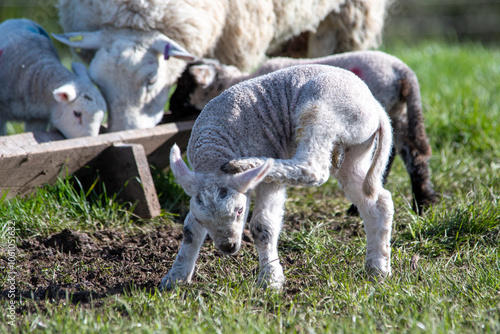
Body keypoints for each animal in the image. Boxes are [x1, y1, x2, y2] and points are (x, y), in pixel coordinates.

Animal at [160, 64, 394, 290]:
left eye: (239, 211)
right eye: (203, 219)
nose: (228, 246)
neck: (213, 158)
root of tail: (376, 106)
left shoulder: (268, 182)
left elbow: (262, 227)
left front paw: (270, 280)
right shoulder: (197, 184)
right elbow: (190, 231)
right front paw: (175, 278)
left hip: (322, 113)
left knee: (313, 168)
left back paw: (250, 163)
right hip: (357, 149)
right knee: (375, 200)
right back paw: (378, 268)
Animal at [169, 51, 438, 214]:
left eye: (183, 83)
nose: (171, 106)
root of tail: (403, 71)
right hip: (399, 113)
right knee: (411, 152)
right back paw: (423, 201)